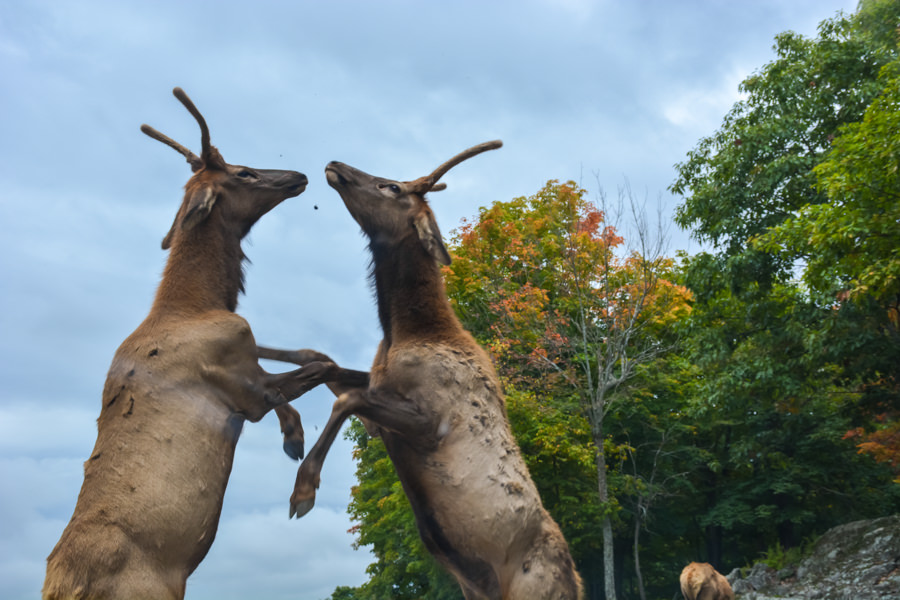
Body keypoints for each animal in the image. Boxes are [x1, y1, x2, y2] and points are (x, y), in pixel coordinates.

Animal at [43, 89, 370, 600]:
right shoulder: (241, 388)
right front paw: (301, 461)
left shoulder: (245, 355)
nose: (298, 175)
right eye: (243, 172)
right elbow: (312, 373)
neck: (196, 303)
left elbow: (311, 356)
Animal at [262, 144, 584, 600]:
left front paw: (303, 489)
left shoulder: (432, 422)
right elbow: (323, 361)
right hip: (476, 589)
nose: (336, 165)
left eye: (393, 187)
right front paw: (284, 418)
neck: (408, 330)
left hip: (529, 589)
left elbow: (346, 398)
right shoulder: (380, 394)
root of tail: (575, 584)